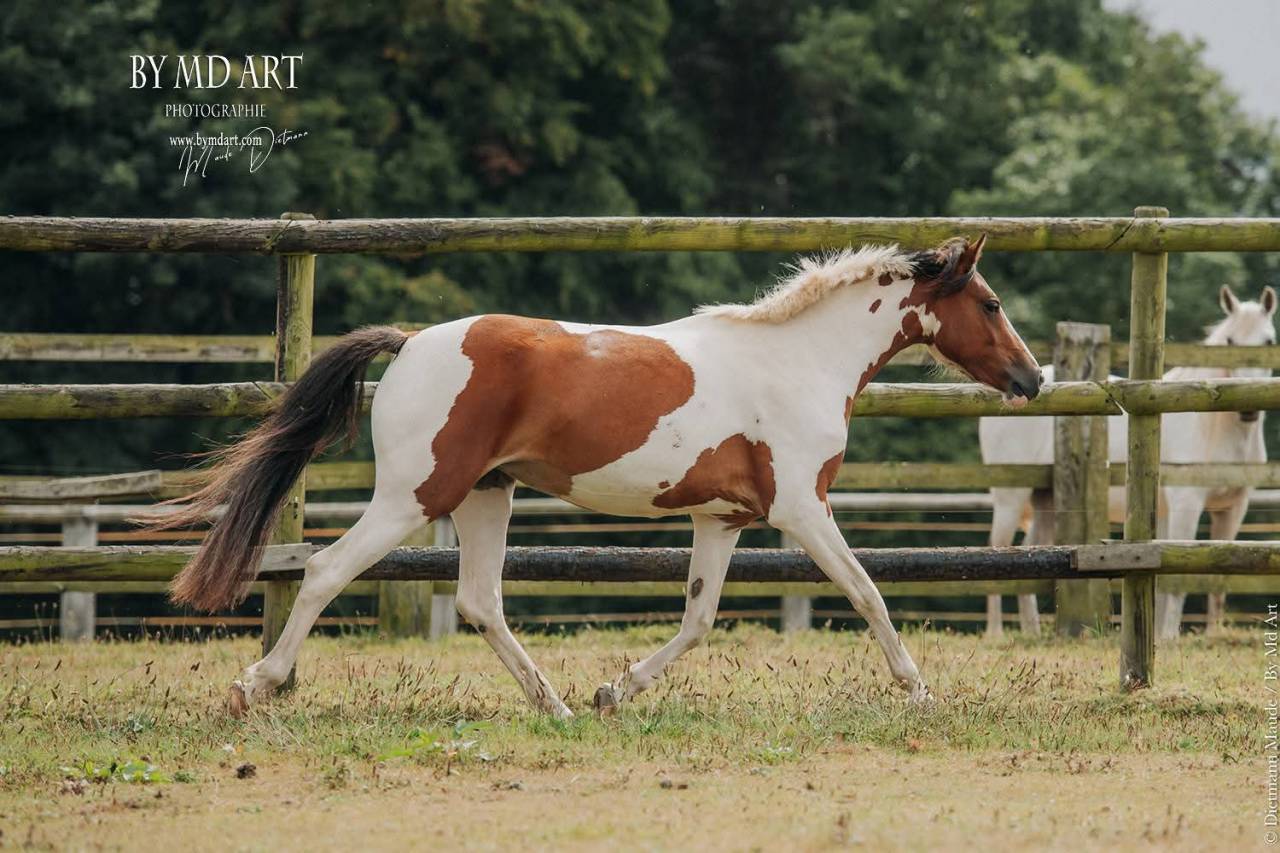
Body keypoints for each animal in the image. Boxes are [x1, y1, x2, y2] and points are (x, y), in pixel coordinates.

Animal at [152, 235, 1042, 717]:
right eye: (992, 304)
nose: (1033, 378)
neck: (798, 360)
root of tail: (408, 342)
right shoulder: (802, 507)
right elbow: (868, 593)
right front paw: (920, 691)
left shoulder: (722, 520)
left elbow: (698, 619)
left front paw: (615, 691)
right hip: (416, 495)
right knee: (328, 570)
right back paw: (255, 685)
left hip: (488, 495)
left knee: (480, 601)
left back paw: (557, 704)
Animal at [980, 284, 1275, 639]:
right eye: (1230, 341)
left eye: (1269, 341)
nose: (1249, 412)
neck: (1214, 428)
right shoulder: (1186, 503)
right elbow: (1178, 577)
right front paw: (1168, 636)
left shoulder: (1232, 508)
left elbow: (1215, 574)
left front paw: (1205, 634)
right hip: (1011, 496)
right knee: (997, 548)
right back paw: (996, 632)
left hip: (1045, 500)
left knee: (1029, 550)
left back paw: (1032, 631)